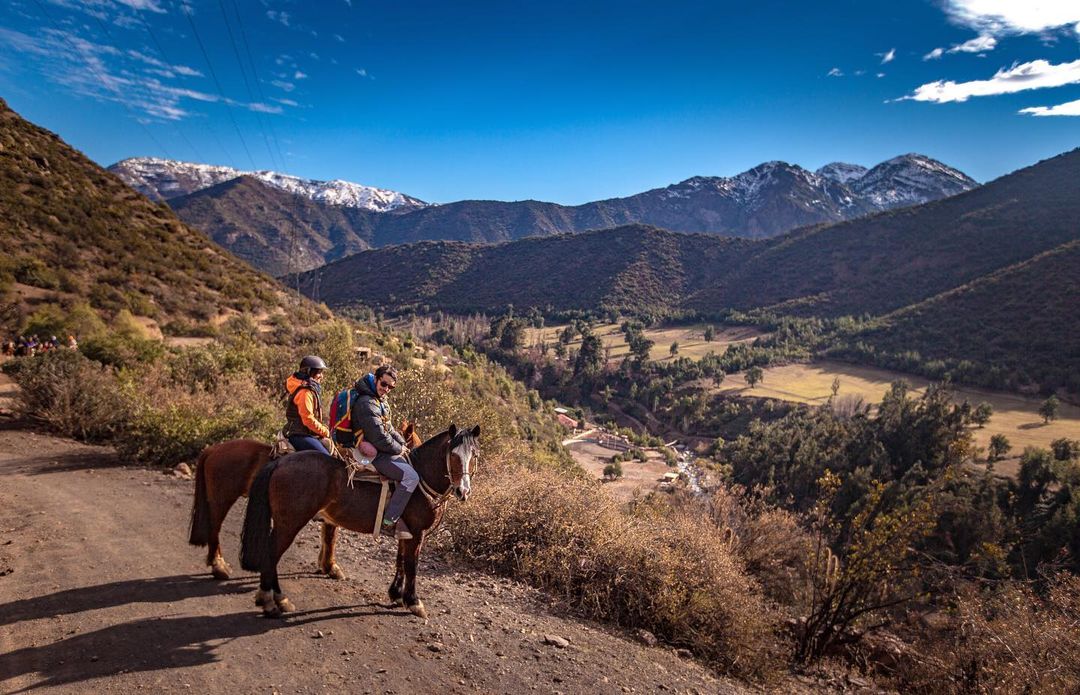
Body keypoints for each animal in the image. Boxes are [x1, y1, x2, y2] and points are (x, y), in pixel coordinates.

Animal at [187, 423, 419, 582]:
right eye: (411, 444)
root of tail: (213, 450)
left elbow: (329, 536)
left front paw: (326, 565)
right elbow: (331, 536)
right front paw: (330, 567)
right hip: (222, 499)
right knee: (215, 527)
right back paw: (219, 566)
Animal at [247, 423, 483, 617]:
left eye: (474, 455)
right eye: (453, 455)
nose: (463, 491)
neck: (420, 480)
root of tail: (281, 462)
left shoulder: (405, 532)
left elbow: (400, 561)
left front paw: (396, 594)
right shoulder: (417, 533)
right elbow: (412, 565)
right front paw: (414, 602)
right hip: (289, 523)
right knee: (272, 554)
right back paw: (273, 599)